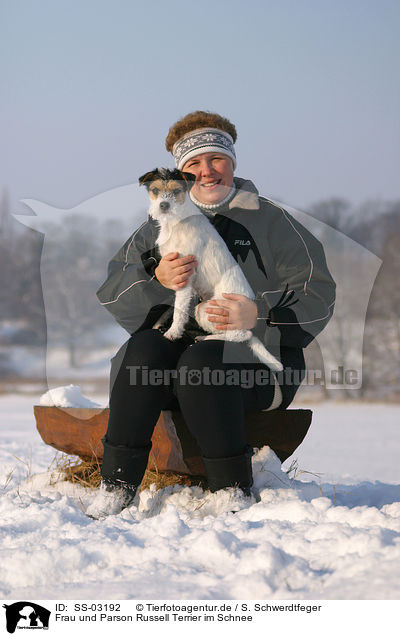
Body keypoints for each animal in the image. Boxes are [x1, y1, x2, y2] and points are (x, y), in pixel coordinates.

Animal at [139, 168, 282, 372]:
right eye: (155, 190)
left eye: (176, 191)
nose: (164, 205)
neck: (175, 222)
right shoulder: (175, 273)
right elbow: (172, 304)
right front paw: (160, 323)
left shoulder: (186, 276)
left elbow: (179, 310)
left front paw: (173, 332)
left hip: (207, 310)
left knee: (241, 335)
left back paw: (208, 337)